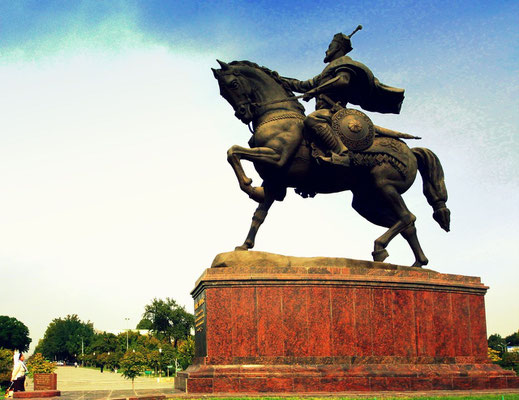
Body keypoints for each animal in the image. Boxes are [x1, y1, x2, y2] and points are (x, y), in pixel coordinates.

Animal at [212, 59, 450, 268]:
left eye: (233, 84)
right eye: (223, 92)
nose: (243, 113)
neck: (277, 114)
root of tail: (411, 151)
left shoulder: (276, 157)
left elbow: (233, 152)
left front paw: (250, 187)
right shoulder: (274, 181)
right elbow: (259, 215)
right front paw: (244, 246)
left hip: (384, 185)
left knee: (407, 217)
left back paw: (381, 248)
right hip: (366, 202)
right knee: (406, 223)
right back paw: (417, 263)